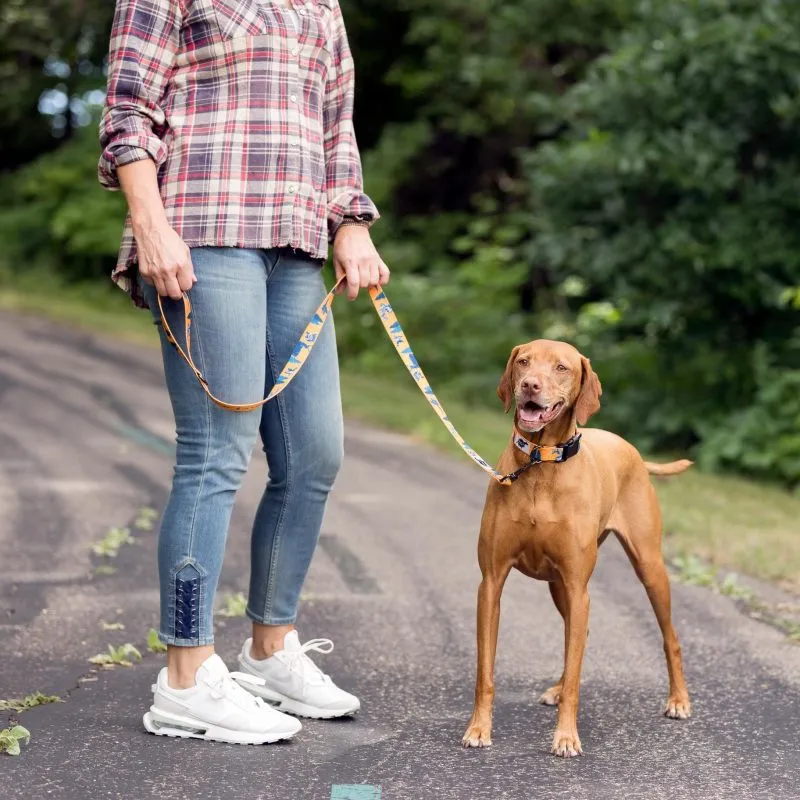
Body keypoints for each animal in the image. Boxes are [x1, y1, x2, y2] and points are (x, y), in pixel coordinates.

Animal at [462, 340, 692, 760]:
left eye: (561, 368)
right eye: (523, 362)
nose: (530, 385)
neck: (541, 461)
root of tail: (632, 449)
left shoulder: (577, 584)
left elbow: (575, 674)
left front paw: (566, 737)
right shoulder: (491, 583)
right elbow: (485, 671)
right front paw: (478, 728)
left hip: (648, 569)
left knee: (670, 638)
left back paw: (679, 700)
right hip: (559, 587)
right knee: (576, 634)